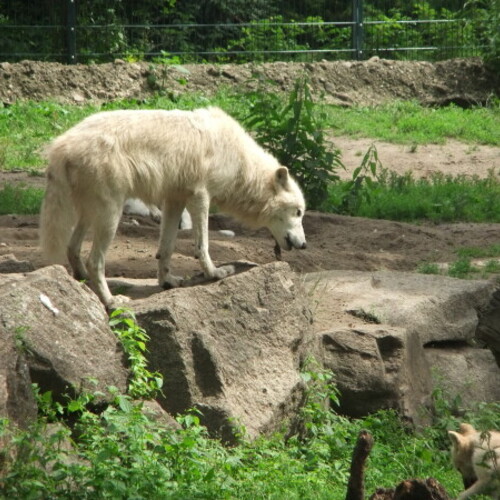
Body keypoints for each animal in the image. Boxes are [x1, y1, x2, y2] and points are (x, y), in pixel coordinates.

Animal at [39, 107, 306, 306]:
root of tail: (61, 145)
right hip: (110, 214)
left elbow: (165, 248)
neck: (240, 164)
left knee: (72, 248)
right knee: (95, 261)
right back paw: (112, 301)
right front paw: (215, 274)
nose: (304, 245)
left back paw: (84, 284)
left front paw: (167, 282)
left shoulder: (174, 200)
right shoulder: (201, 197)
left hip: (89, 213)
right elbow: (202, 246)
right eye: (299, 212)